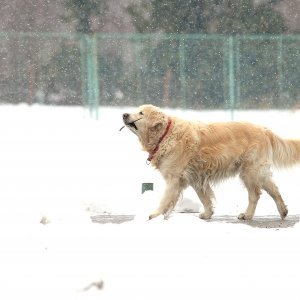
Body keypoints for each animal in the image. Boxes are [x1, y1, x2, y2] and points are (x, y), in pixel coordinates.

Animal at [122, 105, 300, 220]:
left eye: (141, 113)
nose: (124, 114)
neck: (166, 134)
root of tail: (264, 129)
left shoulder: (174, 178)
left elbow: (165, 199)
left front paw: (155, 215)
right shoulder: (196, 178)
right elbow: (204, 198)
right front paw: (207, 214)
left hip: (249, 171)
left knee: (255, 194)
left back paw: (248, 215)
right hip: (258, 172)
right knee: (274, 189)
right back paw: (283, 211)